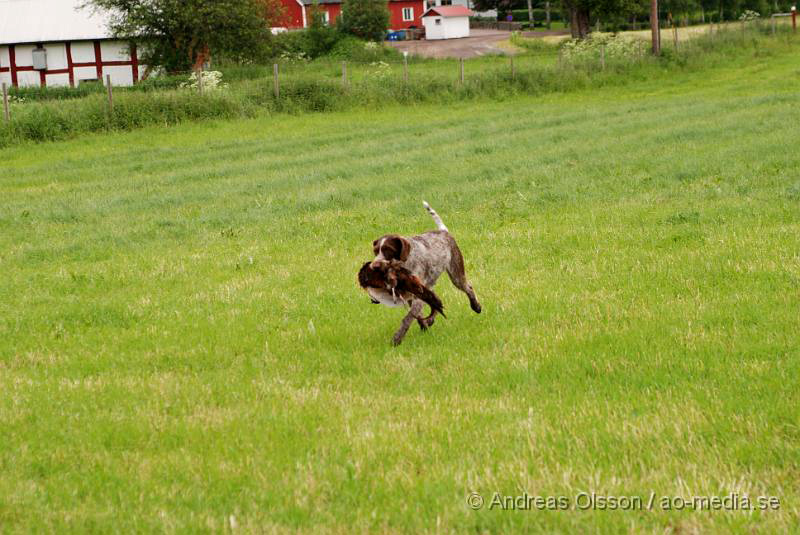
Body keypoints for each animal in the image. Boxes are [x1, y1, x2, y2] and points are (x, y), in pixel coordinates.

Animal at [370, 202, 482, 348]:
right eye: (375, 251)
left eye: (388, 250)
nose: (374, 266)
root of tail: (444, 232)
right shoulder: (411, 295)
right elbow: (418, 314)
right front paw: (425, 325)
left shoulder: (418, 296)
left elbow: (408, 318)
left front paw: (397, 338)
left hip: (456, 274)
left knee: (468, 288)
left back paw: (476, 306)